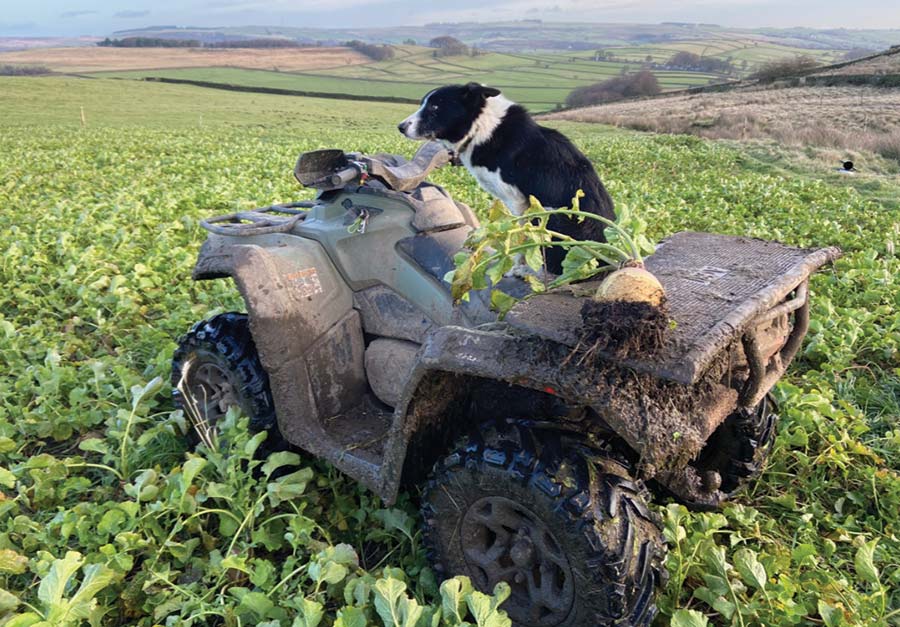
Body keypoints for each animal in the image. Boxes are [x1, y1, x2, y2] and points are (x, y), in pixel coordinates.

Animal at [398, 81, 616, 274]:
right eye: (423, 104)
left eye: (435, 107)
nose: (400, 127)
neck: (481, 127)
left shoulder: (517, 201)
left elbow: (520, 237)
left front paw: (516, 267)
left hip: (548, 214)